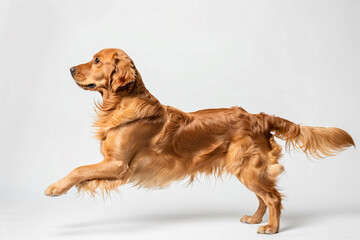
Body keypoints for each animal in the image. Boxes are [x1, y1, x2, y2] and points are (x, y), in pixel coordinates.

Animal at [45, 47, 354, 233]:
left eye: (97, 60)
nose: (70, 68)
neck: (121, 103)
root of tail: (258, 117)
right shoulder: (112, 164)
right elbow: (84, 173)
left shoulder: (118, 164)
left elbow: (79, 169)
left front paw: (55, 188)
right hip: (245, 168)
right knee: (264, 197)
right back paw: (255, 218)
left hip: (247, 167)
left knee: (273, 197)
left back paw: (271, 228)